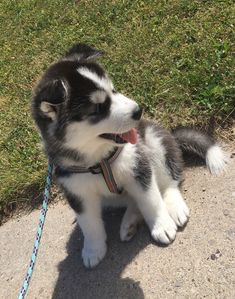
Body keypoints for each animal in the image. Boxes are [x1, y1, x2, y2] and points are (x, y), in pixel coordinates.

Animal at [32, 44, 227, 270]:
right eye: (98, 108)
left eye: (113, 90)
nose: (138, 111)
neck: (98, 160)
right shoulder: (77, 191)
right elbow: (89, 224)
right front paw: (93, 249)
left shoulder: (138, 166)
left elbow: (151, 200)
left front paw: (161, 225)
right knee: (132, 200)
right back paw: (130, 222)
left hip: (153, 140)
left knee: (168, 182)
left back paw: (173, 206)